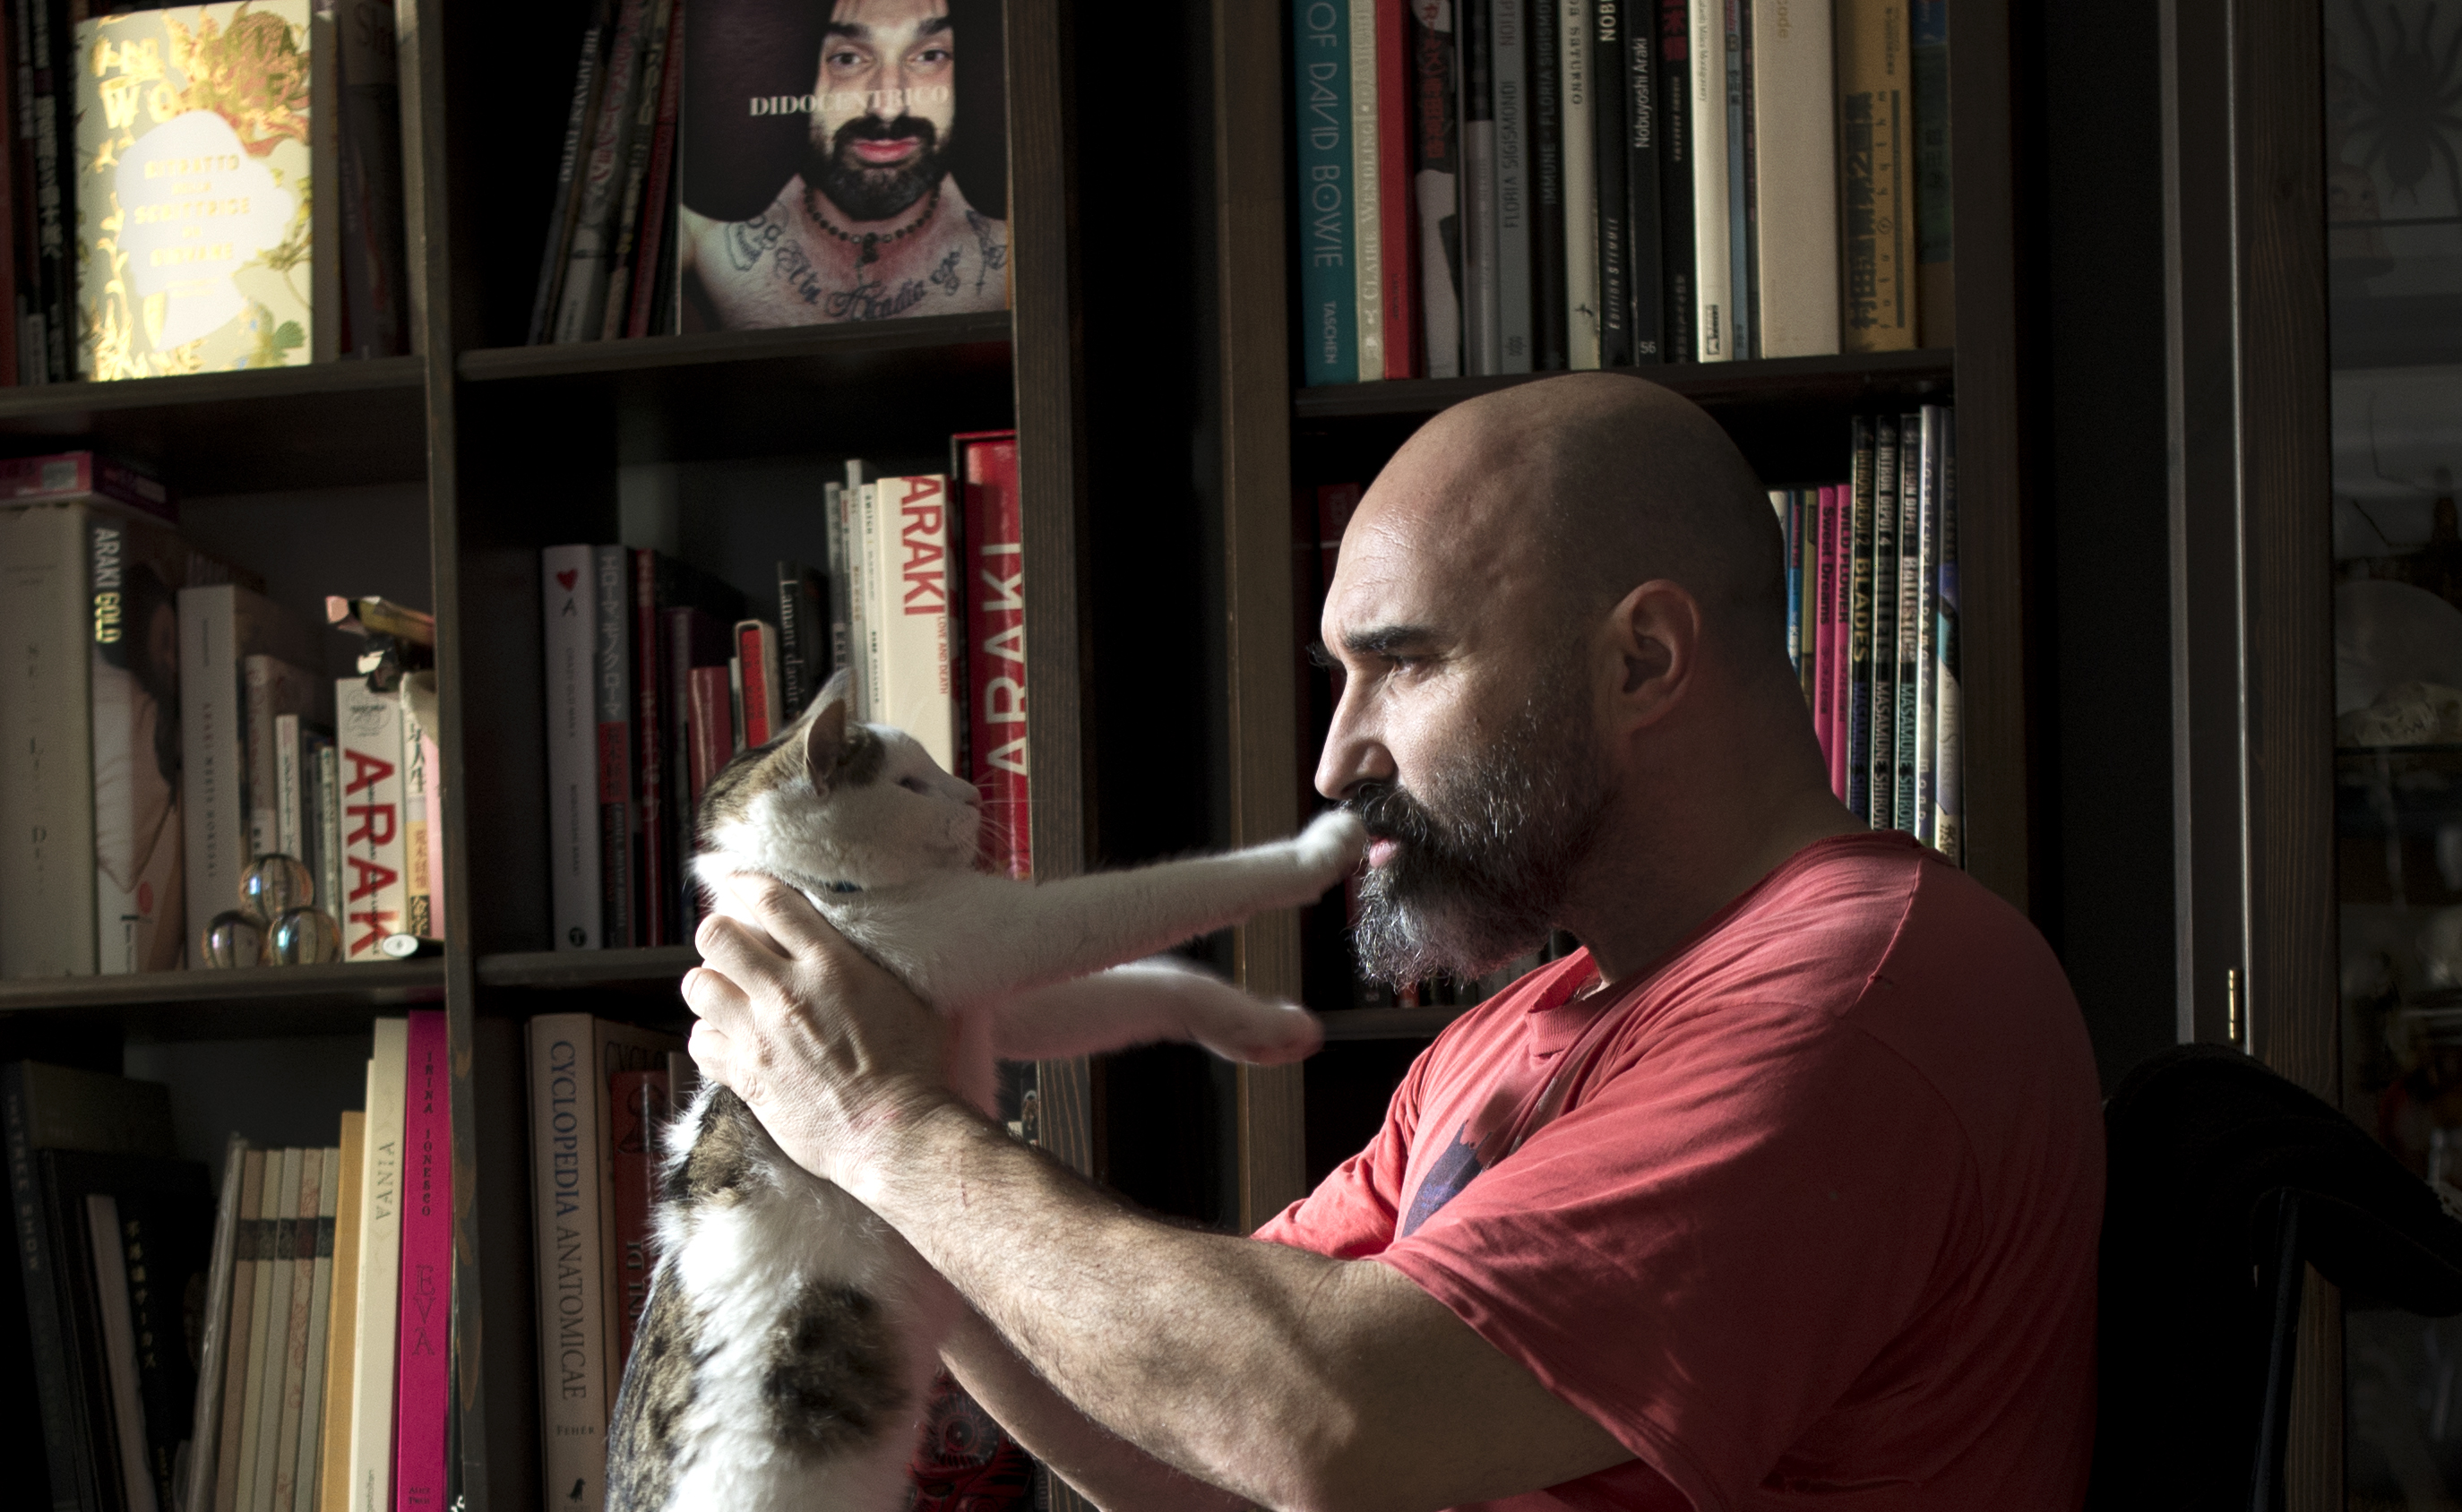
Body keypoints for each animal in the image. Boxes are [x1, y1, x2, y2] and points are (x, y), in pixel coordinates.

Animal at [605, 672, 1366, 1512]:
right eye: (908, 782)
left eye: (931, 768)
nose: (971, 792)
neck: (817, 894)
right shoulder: (992, 934)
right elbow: (1162, 894)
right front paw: (1321, 848)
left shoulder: (996, 1006)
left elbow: (1145, 986)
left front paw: (1264, 1028)